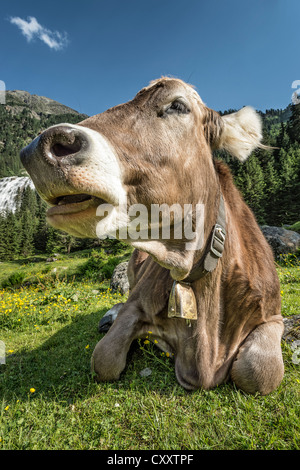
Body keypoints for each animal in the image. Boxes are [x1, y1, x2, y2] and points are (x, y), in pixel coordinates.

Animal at [20, 79, 284, 394]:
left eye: (178, 105)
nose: (39, 147)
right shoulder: (136, 303)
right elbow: (104, 359)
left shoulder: (274, 314)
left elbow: (258, 371)